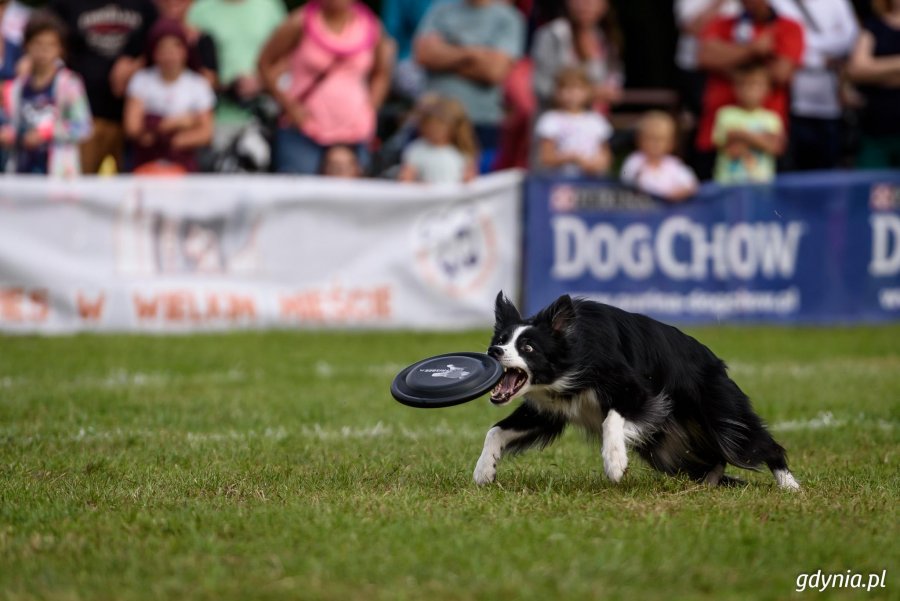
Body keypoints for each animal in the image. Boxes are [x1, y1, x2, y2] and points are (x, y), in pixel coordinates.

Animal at [478, 292, 800, 490]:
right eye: (501, 340)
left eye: (528, 347)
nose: (494, 352)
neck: (576, 355)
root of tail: (717, 363)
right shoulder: (549, 411)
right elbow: (495, 430)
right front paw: (484, 471)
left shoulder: (639, 392)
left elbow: (612, 418)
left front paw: (615, 464)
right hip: (666, 449)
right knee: (714, 458)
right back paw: (708, 484)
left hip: (720, 412)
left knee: (756, 444)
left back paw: (791, 487)